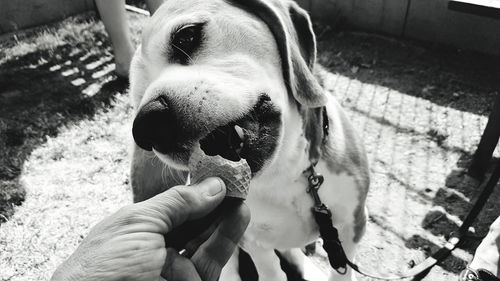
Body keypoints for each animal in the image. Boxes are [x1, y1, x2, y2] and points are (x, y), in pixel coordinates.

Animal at [128, 0, 372, 278]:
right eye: (136, 99)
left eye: (186, 35)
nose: (147, 126)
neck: (284, 175)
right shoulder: (251, 239)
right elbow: (270, 271)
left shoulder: (354, 225)